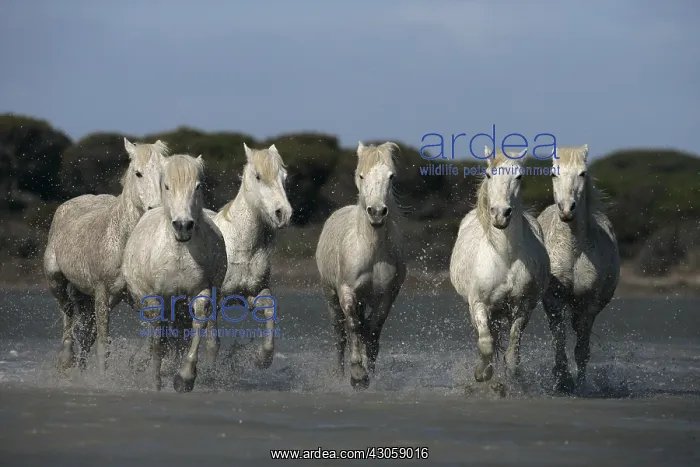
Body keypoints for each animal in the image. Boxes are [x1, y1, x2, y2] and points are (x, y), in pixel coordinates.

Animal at [44, 138, 169, 373]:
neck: (123, 243)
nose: (154, 209)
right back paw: (66, 360)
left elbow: (152, 340)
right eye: (138, 173)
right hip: (56, 280)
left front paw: (138, 363)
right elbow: (104, 345)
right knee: (68, 314)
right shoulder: (102, 293)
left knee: (85, 334)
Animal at [122, 154, 227, 392]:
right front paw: (155, 382)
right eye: (167, 186)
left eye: (197, 186)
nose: (183, 225)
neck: (178, 251)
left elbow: (197, 326)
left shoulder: (200, 292)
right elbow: (157, 342)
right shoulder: (155, 300)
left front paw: (185, 378)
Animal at [315, 141, 406, 389]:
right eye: (362, 175)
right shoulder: (347, 290)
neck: (370, 249)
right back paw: (339, 374)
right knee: (341, 333)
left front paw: (369, 374)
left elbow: (372, 332)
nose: (376, 212)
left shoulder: (387, 295)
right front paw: (357, 375)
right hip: (330, 296)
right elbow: (354, 327)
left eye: (391, 176)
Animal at [449, 147, 550, 386]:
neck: (505, 256)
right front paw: (481, 374)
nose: (500, 214)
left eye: (519, 176)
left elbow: (512, 350)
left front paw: (511, 379)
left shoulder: (523, 306)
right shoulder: (478, 304)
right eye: (488, 175)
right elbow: (486, 343)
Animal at [537, 144, 620, 393]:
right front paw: (562, 379)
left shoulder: (588, 304)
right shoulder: (553, 300)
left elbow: (582, 349)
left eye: (583, 173)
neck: (573, 249)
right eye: (554, 174)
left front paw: (579, 385)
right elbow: (559, 338)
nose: (566, 209)